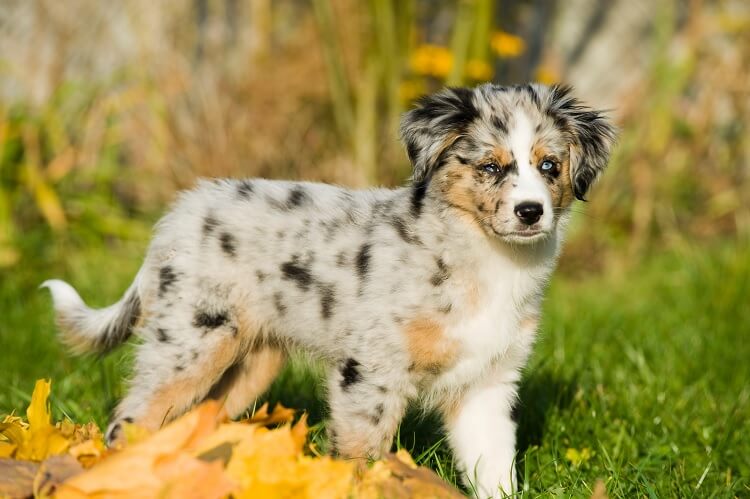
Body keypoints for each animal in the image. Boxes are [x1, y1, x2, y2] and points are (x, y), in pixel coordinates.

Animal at [42, 84, 616, 498]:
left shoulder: (488, 384)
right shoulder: (369, 374)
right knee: (132, 418)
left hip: (249, 366)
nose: (530, 212)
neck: (487, 260)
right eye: (491, 167)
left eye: (549, 165)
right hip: (191, 343)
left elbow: (494, 469)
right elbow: (362, 455)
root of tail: (179, 213)